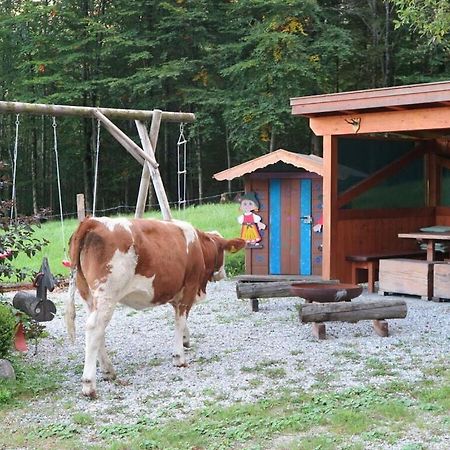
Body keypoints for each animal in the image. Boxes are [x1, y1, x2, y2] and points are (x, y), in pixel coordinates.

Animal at [65, 217, 244, 398]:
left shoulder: (173, 291)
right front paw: (179, 357)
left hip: (89, 296)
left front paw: (185, 339)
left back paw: (108, 371)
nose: (223, 274)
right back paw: (89, 385)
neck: (198, 245)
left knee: (97, 331)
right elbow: (180, 320)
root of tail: (92, 221)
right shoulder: (189, 287)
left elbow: (180, 319)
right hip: (106, 294)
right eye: (223, 252)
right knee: (94, 328)